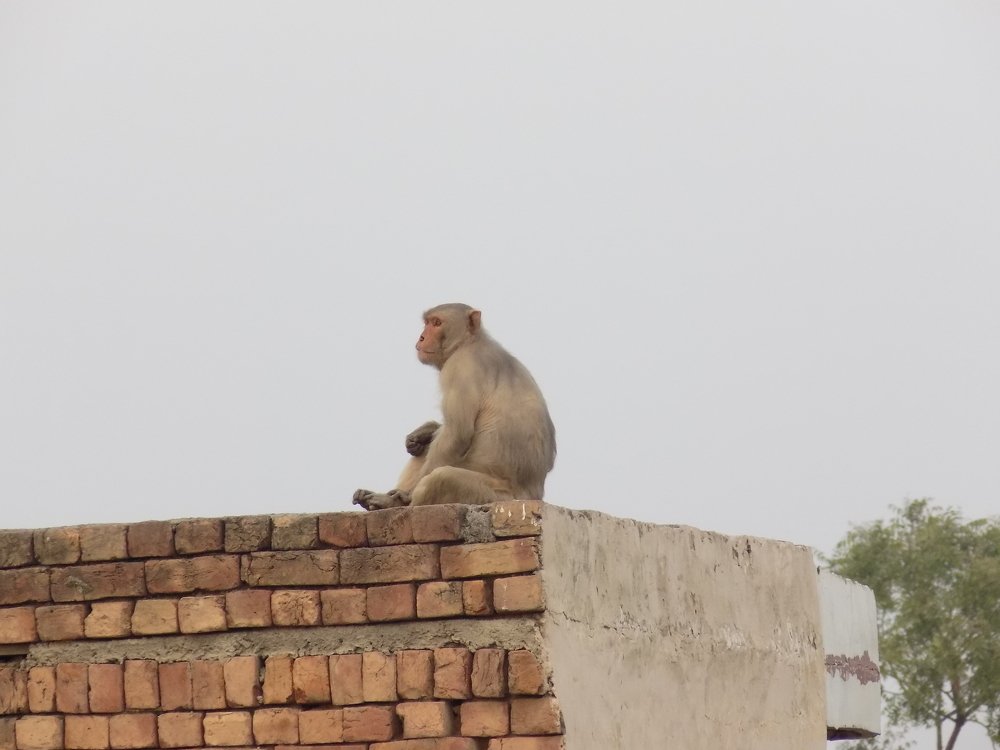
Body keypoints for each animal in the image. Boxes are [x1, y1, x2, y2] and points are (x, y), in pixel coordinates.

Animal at [353, 303, 556, 510]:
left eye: (437, 323)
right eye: (427, 322)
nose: (422, 338)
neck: (470, 342)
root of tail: (533, 495)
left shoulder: (459, 368)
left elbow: (457, 434)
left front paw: (400, 496)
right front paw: (424, 431)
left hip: (491, 495)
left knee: (442, 478)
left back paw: (394, 501)